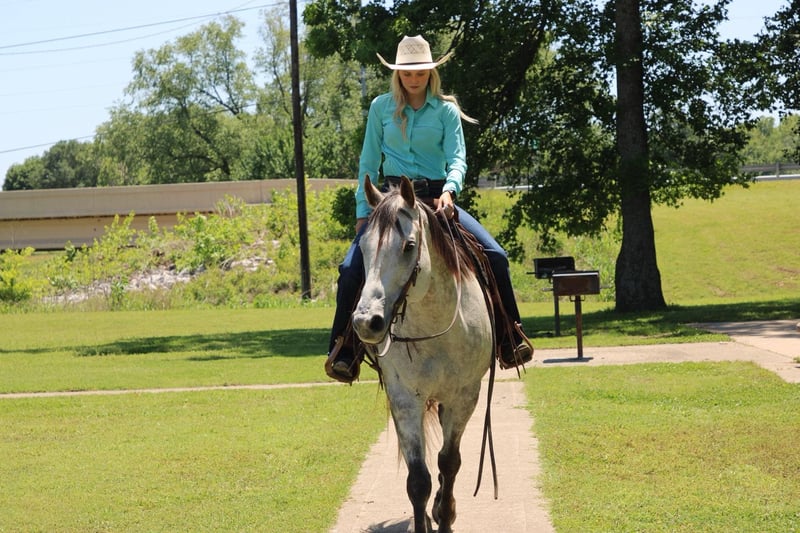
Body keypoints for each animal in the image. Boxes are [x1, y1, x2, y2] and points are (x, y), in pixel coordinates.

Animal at [352, 176, 495, 533]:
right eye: (363, 248)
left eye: (408, 246)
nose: (366, 322)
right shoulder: (404, 398)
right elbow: (418, 478)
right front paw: (426, 519)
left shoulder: (464, 396)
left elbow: (449, 462)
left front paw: (444, 515)